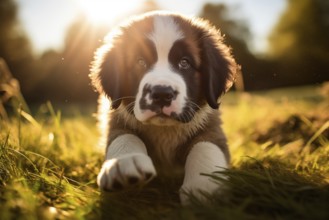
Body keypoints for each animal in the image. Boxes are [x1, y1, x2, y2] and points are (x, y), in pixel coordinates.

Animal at [89, 10, 237, 205]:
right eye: (140, 62)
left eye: (184, 62)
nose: (161, 94)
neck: (165, 130)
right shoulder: (116, 118)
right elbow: (124, 137)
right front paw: (123, 163)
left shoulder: (211, 124)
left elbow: (205, 145)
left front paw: (205, 184)